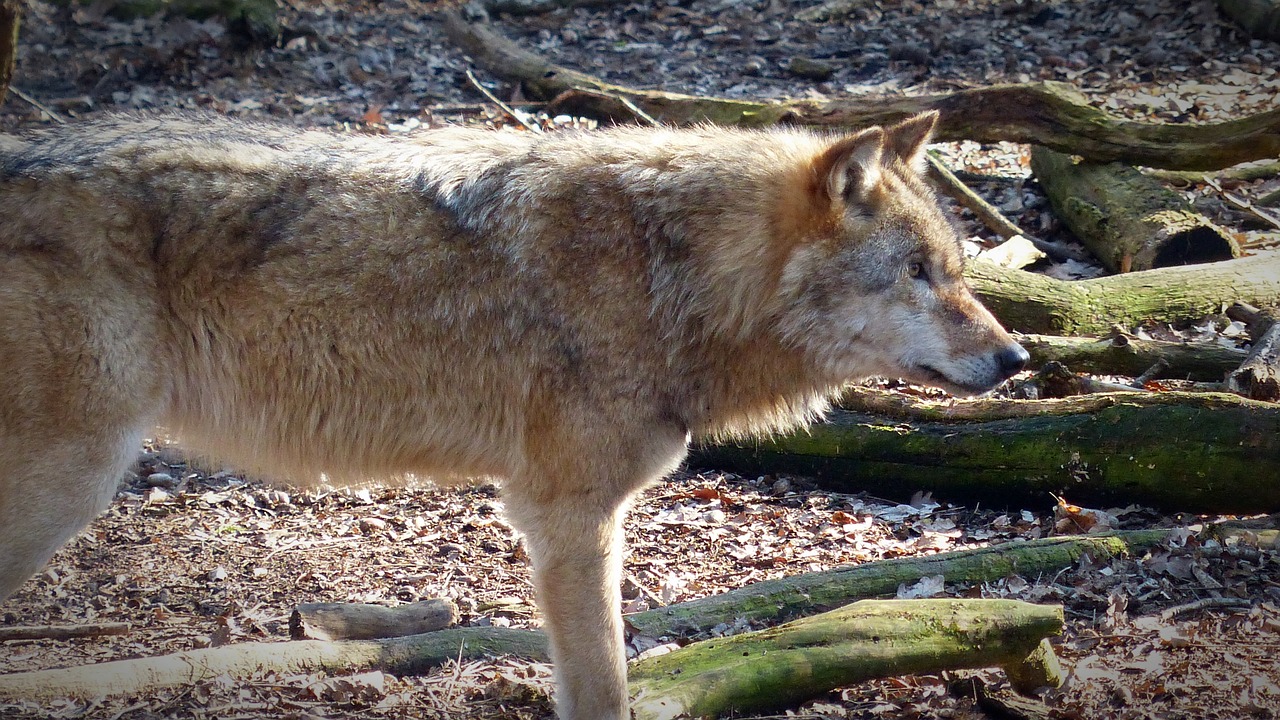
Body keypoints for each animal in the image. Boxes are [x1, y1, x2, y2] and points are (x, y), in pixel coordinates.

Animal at [0, 109, 1024, 712]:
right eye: (916, 273)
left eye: (956, 269)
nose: (1017, 359)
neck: (670, 275)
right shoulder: (568, 515)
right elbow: (603, 687)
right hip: (70, 483)